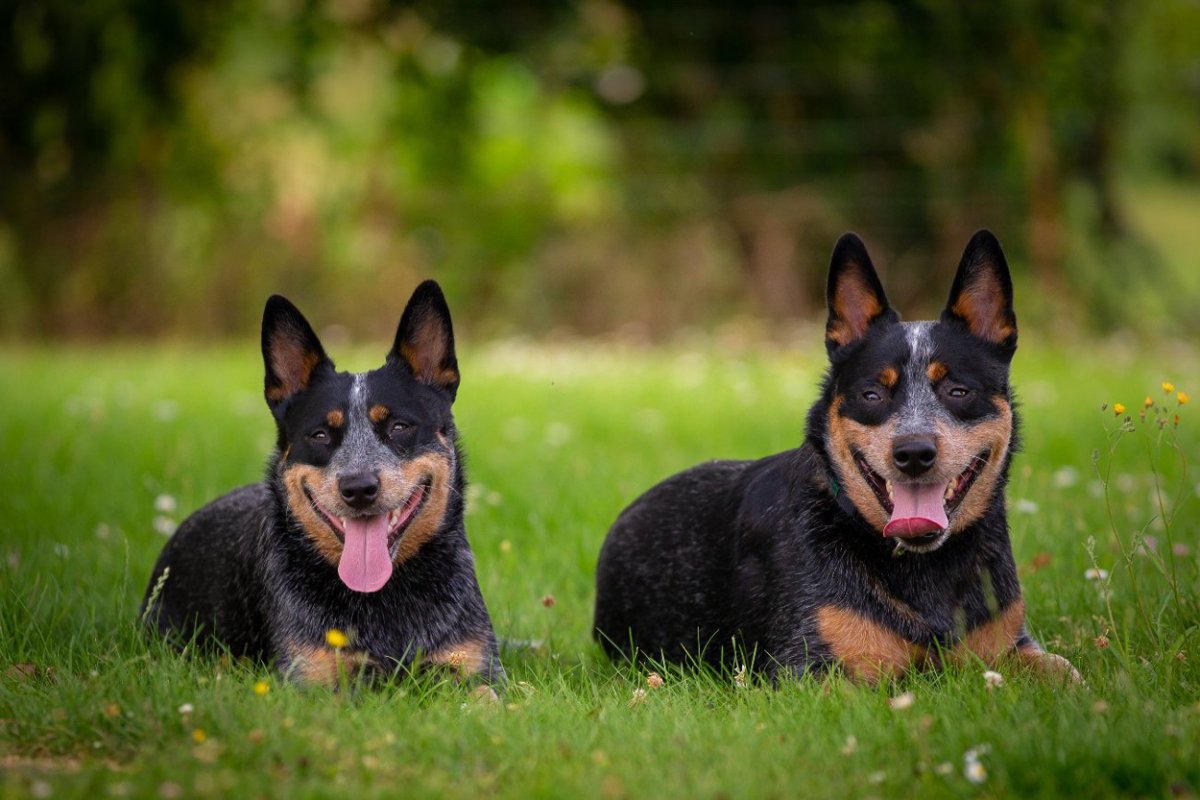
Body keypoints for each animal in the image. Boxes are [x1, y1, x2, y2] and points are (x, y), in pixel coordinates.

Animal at [142, 281, 504, 690]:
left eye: (399, 426)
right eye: (319, 435)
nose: (359, 487)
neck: (383, 597)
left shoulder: (477, 667)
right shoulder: (309, 679)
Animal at [595, 230, 1075, 681]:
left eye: (958, 391)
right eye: (872, 394)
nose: (913, 452)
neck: (923, 567)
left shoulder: (1013, 645)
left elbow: (1069, 674)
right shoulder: (811, 671)